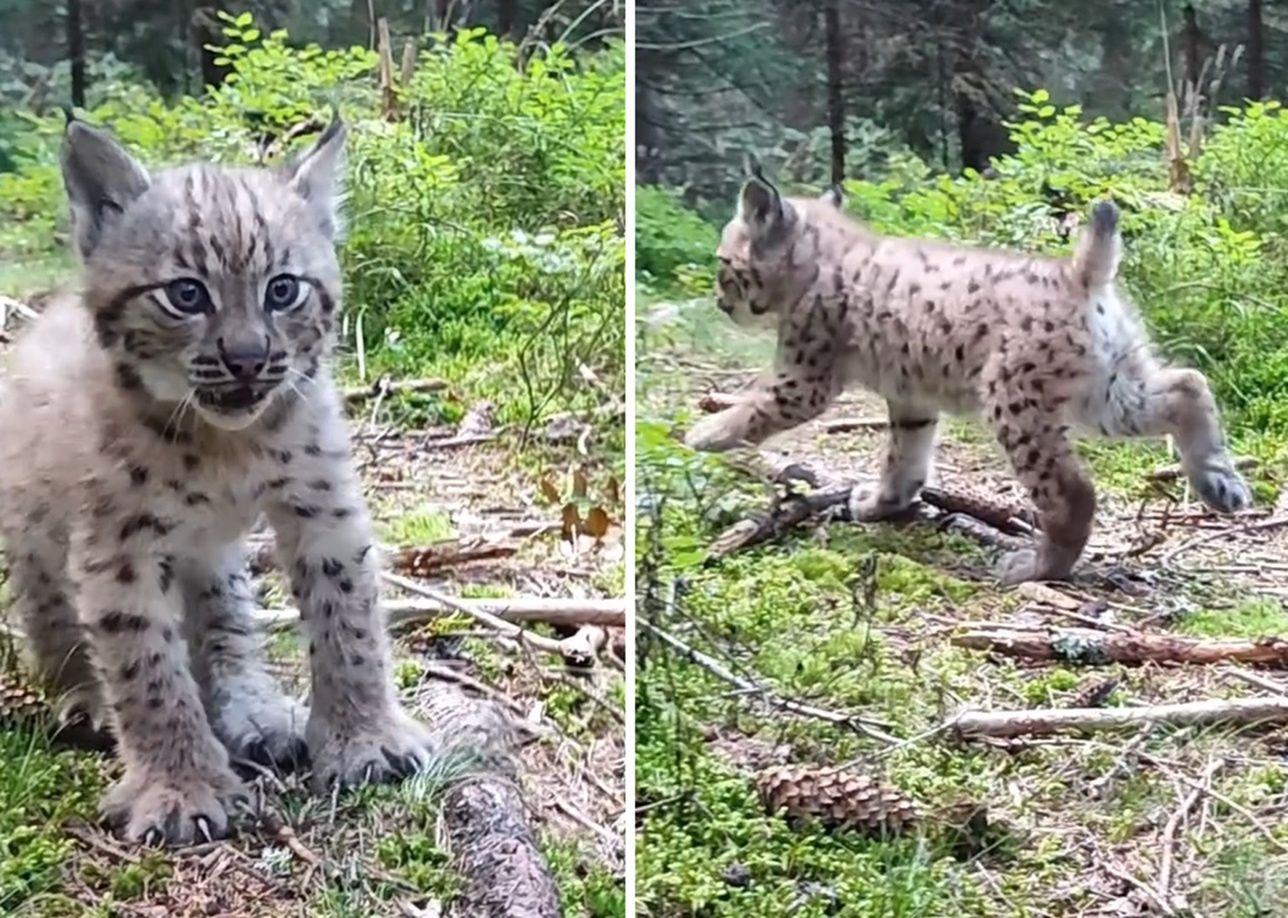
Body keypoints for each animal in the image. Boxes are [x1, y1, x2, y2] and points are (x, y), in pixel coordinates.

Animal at [0, 114, 437, 844]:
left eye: (283, 290)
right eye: (186, 295)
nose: (249, 360)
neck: (227, 444)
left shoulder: (322, 504)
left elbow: (348, 618)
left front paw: (365, 736)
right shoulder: (117, 546)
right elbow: (145, 665)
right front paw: (179, 786)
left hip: (211, 550)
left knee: (225, 614)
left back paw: (250, 710)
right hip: (37, 531)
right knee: (51, 613)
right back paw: (84, 695)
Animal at [690, 168, 1251, 584]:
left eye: (723, 265)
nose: (720, 304)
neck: (818, 251)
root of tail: (1077, 273)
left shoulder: (804, 380)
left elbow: (754, 405)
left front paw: (704, 434)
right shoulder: (911, 397)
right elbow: (904, 457)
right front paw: (882, 502)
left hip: (1012, 399)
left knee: (1074, 493)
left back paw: (1035, 568)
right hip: (1107, 391)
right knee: (1188, 383)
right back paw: (1220, 482)